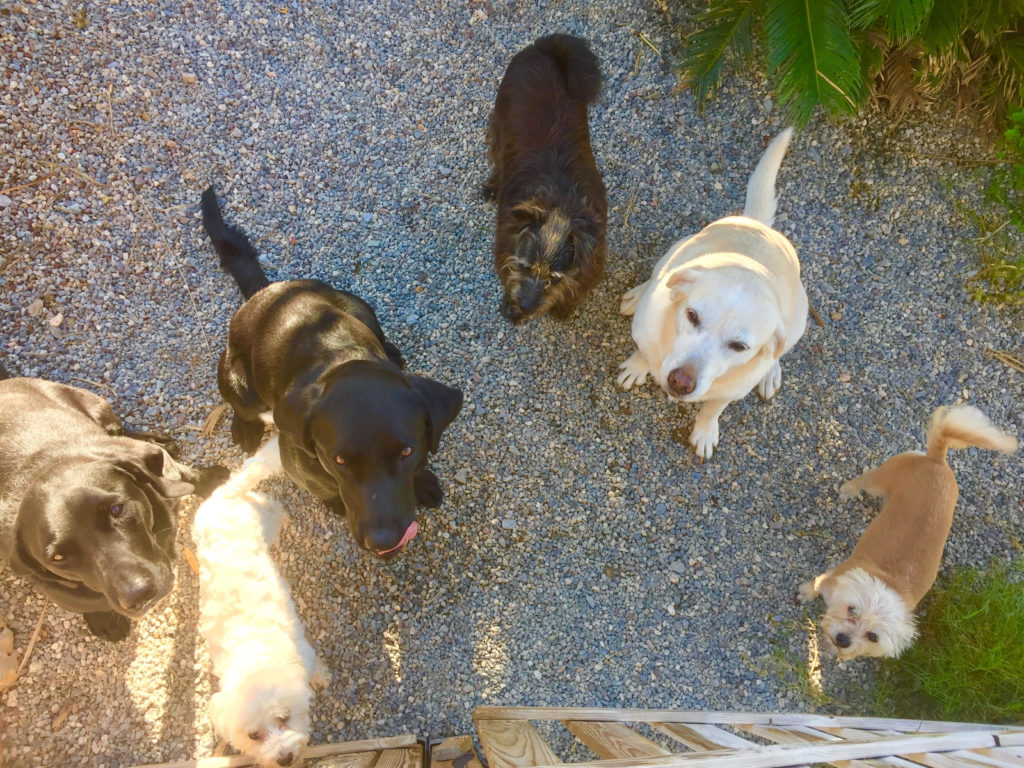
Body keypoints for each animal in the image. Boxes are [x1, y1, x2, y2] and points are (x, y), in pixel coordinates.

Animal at [194, 438, 327, 768]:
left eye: (284, 717)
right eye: (254, 735)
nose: (285, 758)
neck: (255, 653)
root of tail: (227, 493)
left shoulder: (304, 652)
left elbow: (315, 668)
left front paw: (320, 677)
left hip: (264, 516)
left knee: (274, 508)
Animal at [483, 32, 602, 321]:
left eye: (554, 277)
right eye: (526, 267)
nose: (525, 307)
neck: (561, 203)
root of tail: (544, 49)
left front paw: (564, 307)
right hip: (499, 121)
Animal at [614, 129, 806, 460]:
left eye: (740, 346)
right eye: (692, 315)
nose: (680, 382)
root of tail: (758, 225)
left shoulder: (731, 391)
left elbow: (713, 409)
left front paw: (705, 431)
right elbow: (643, 352)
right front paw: (637, 367)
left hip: (800, 316)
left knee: (779, 350)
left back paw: (770, 372)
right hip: (676, 248)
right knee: (657, 276)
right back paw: (638, 294)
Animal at [798, 403, 1015, 663]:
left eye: (873, 637)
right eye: (852, 610)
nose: (843, 640)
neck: (889, 586)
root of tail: (936, 460)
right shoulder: (830, 577)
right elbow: (815, 584)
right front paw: (804, 593)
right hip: (879, 481)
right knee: (865, 477)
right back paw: (849, 490)